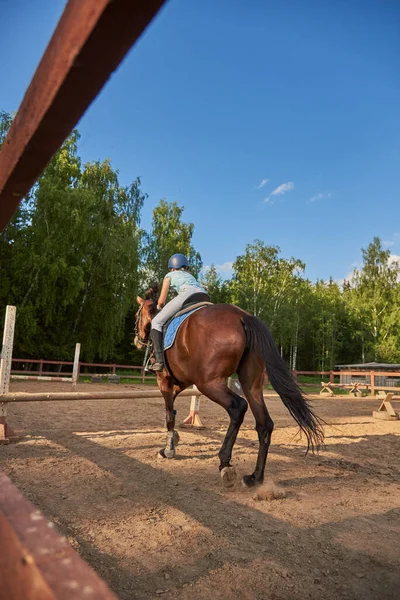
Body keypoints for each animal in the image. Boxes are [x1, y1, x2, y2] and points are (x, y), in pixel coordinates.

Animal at [133, 286, 324, 488]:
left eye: (137, 314)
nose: (137, 340)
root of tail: (242, 316)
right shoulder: (181, 382)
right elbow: (173, 410)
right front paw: (174, 439)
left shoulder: (164, 380)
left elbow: (169, 414)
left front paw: (168, 449)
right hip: (251, 385)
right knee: (264, 423)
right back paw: (255, 477)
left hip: (209, 383)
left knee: (238, 407)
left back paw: (225, 462)